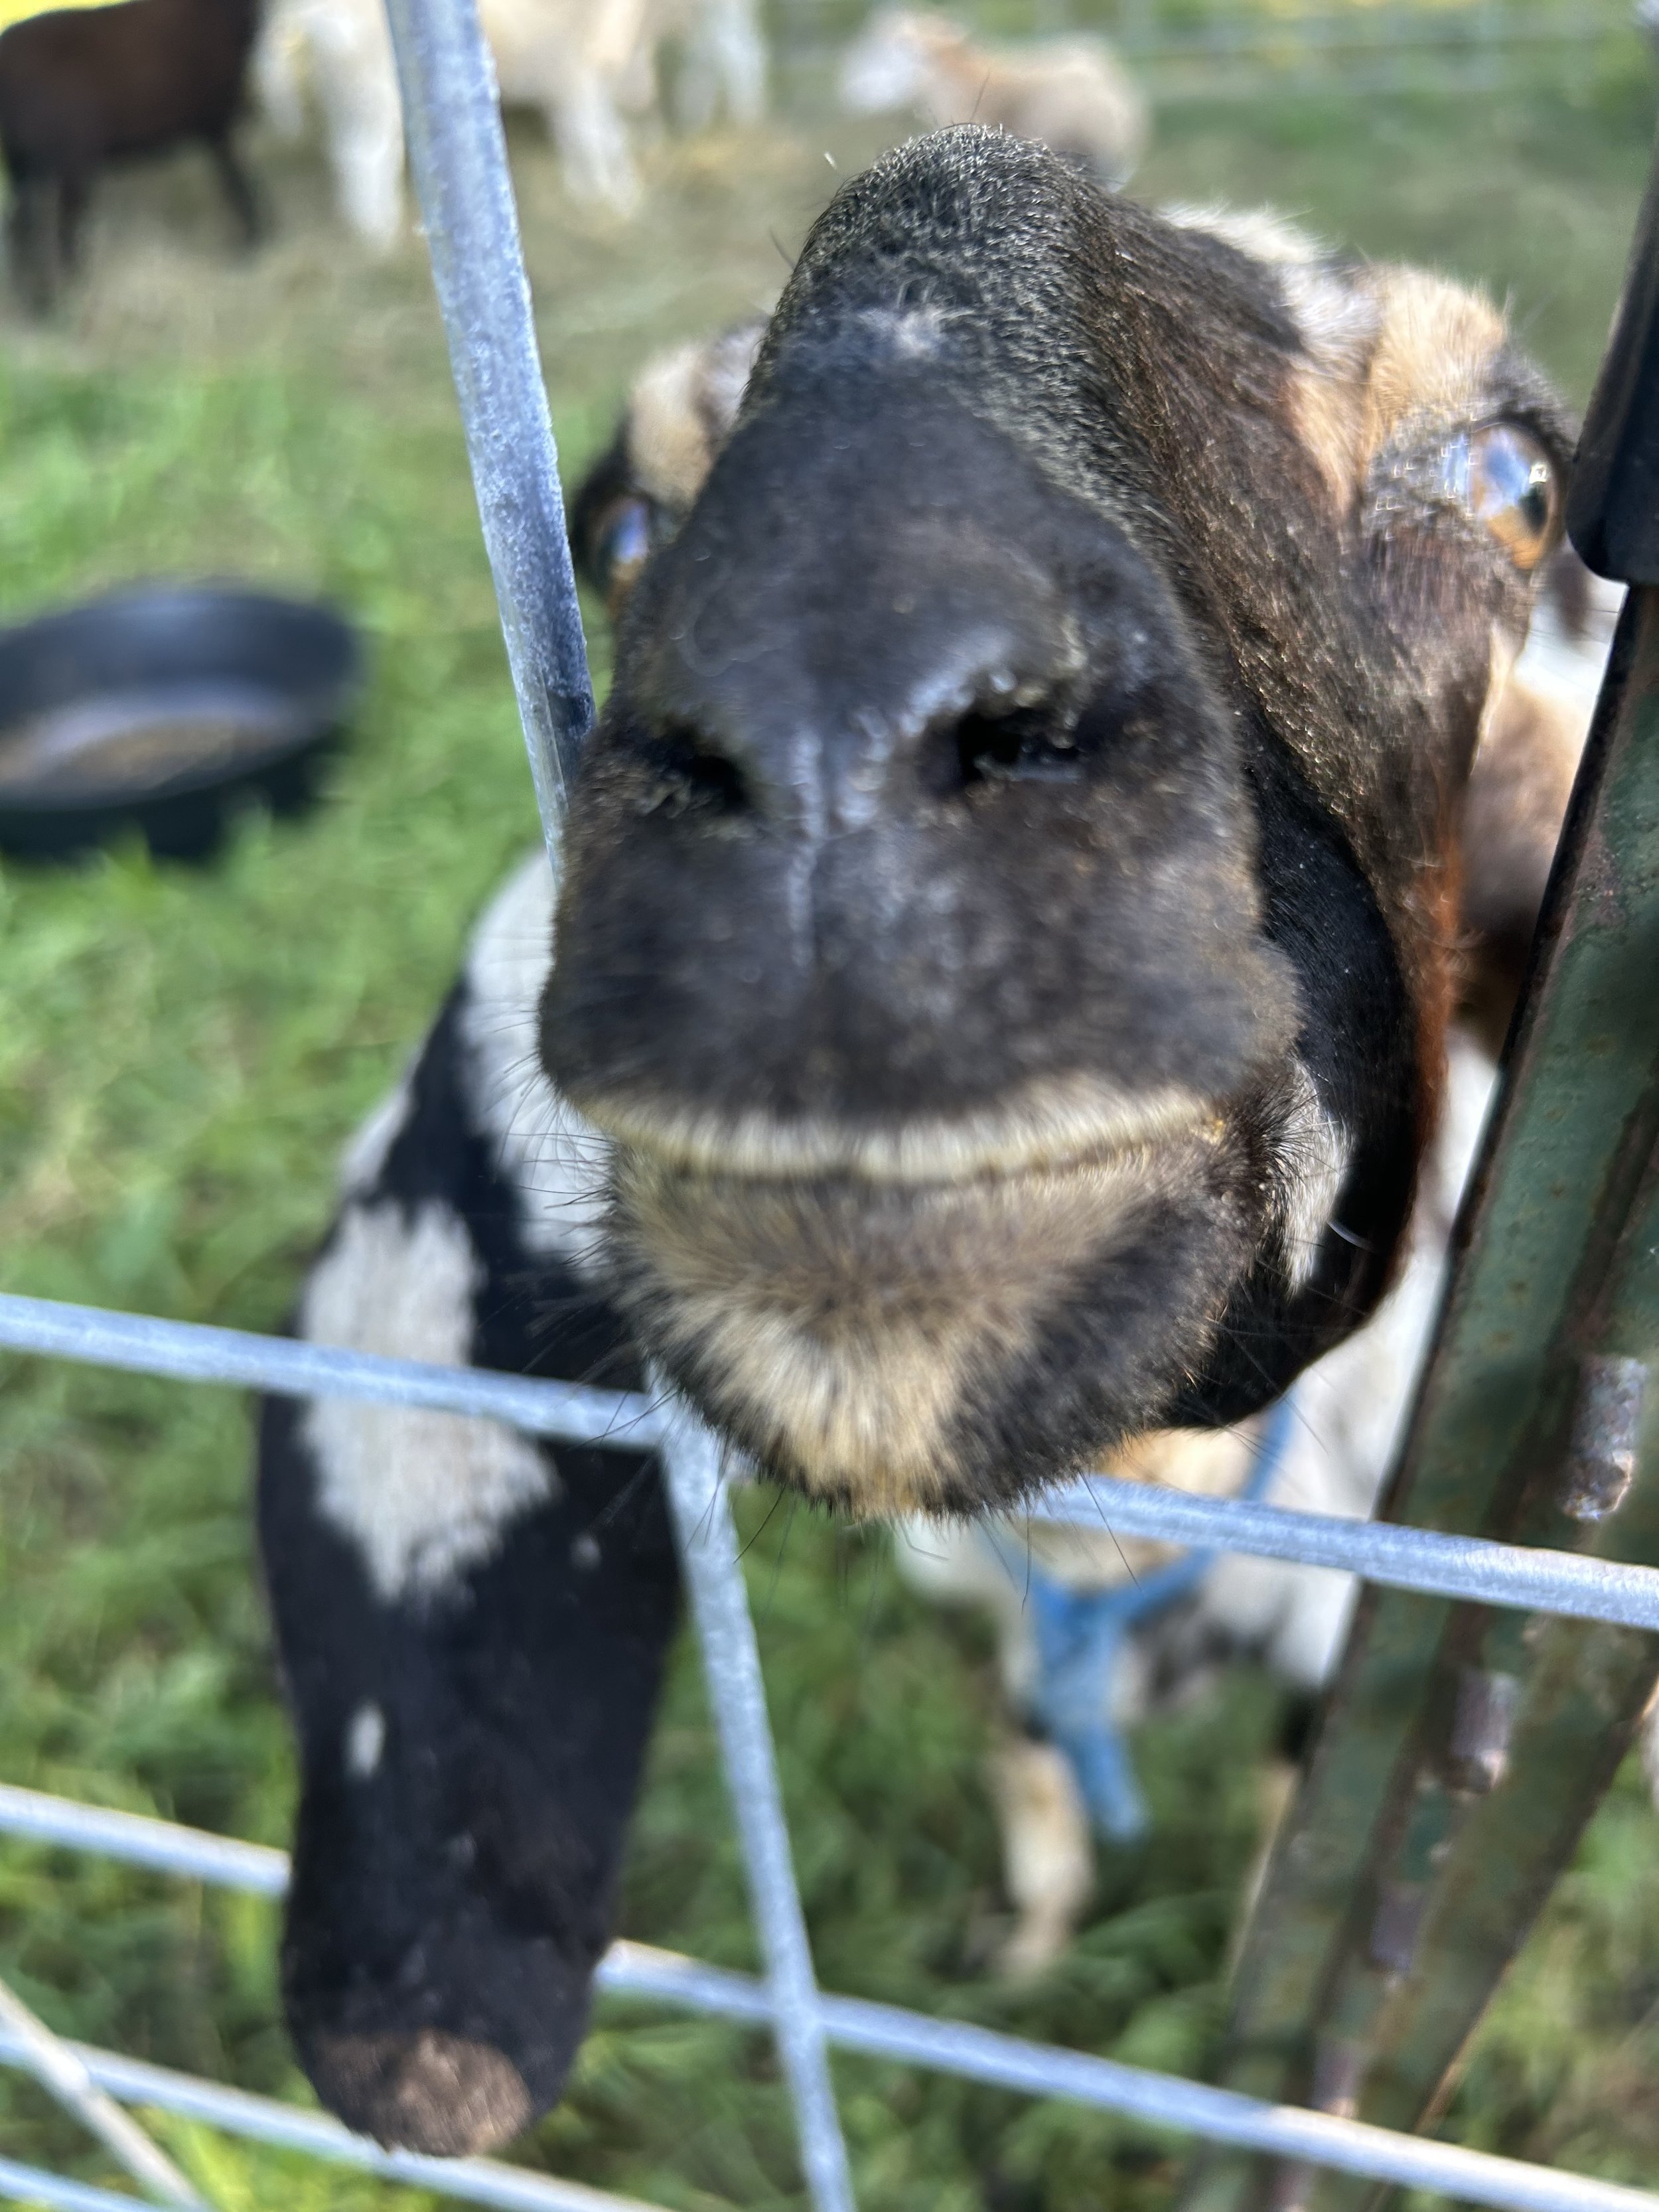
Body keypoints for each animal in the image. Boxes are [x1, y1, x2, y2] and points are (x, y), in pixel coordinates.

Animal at [0, 0, 261, 307]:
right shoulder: (215, 119)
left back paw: (36, 301)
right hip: (65, 156)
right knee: (55, 228)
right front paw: (256, 237)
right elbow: (234, 179)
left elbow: (234, 178)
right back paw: (64, 293)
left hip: (22, 160)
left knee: (22, 227)